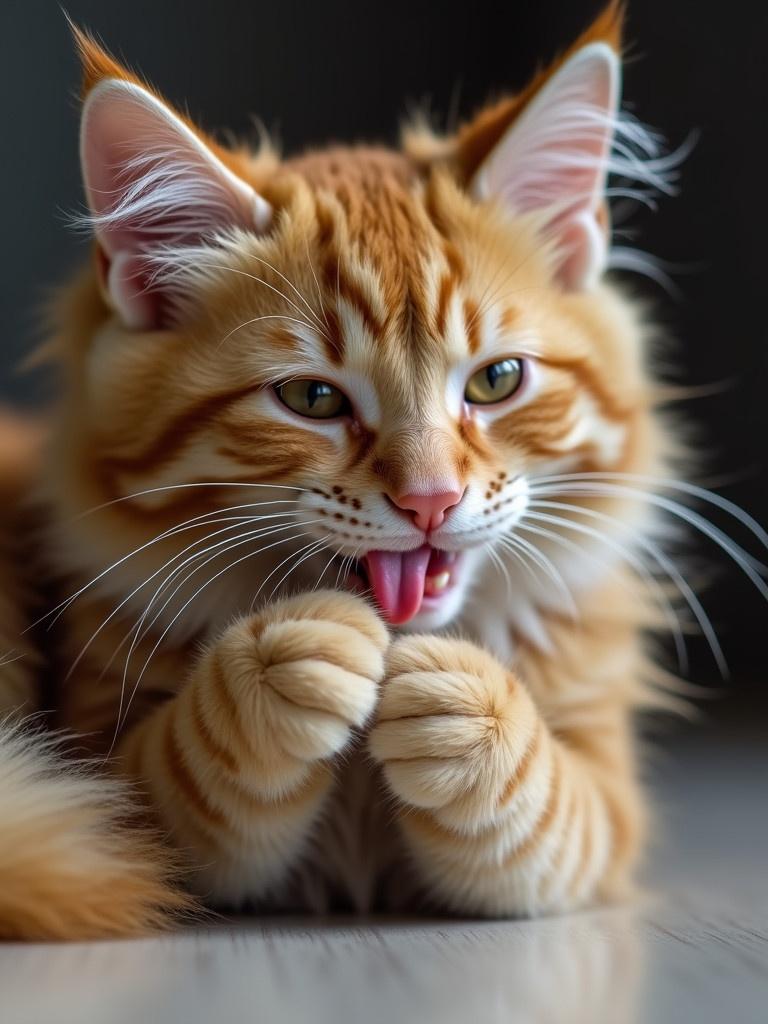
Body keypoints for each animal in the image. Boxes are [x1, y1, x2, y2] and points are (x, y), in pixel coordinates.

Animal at [1, 4, 753, 937]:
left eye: (497, 381)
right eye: (313, 398)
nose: (431, 500)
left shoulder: (606, 807)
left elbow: (545, 812)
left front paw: (468, 709)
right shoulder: (109, 786)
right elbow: (187, 769)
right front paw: (284, 662)